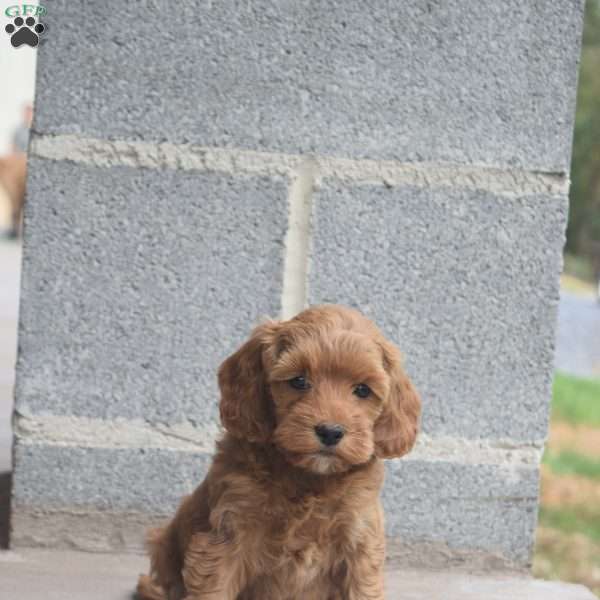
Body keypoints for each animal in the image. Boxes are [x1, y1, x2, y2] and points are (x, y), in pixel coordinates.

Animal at [139, 304, 422, 600]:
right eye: (299, 381)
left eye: (363, 390)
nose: (330, 432)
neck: (309, 479)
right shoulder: (227, 536)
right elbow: (214, 589)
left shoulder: (360, 541)